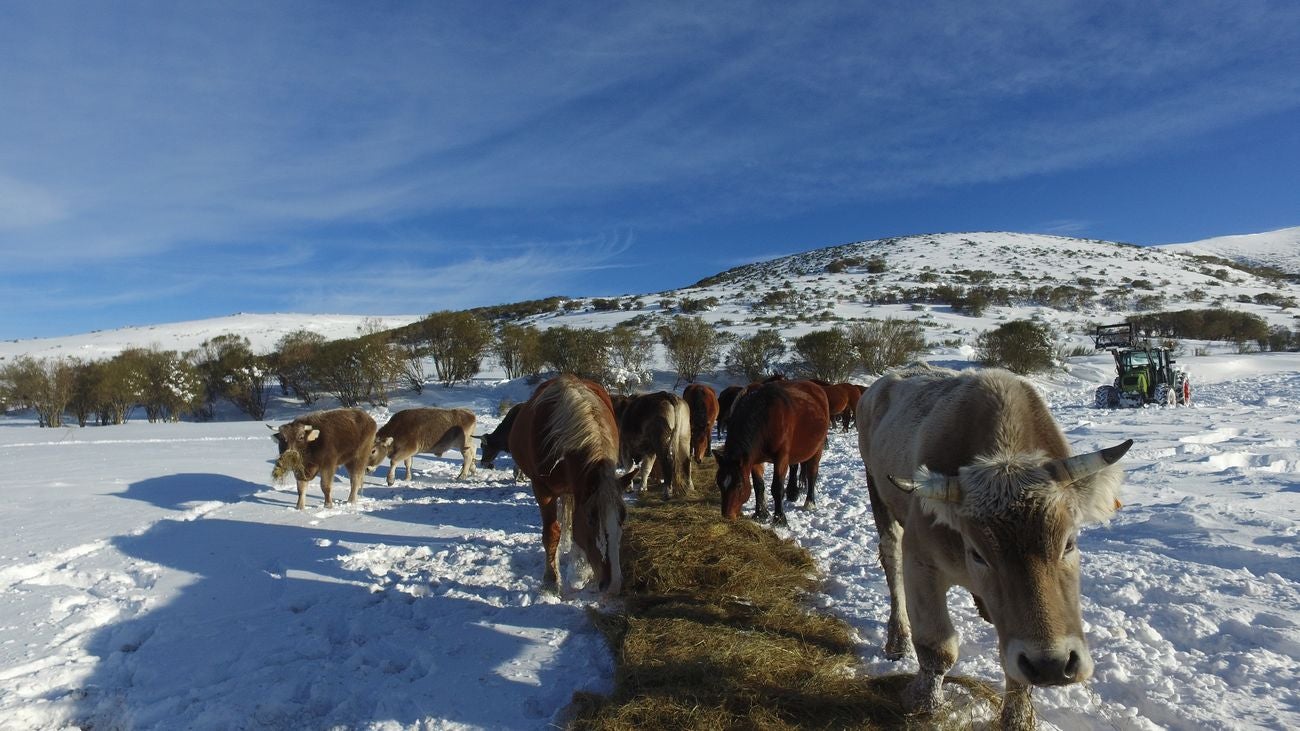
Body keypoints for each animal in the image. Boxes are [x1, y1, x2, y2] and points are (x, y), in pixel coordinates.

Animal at [857, 364, 1133, 728]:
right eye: (978, 554)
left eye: (1069, 543)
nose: (1052, 664)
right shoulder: (921, 560)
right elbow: (936, 647)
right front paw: (924, 702)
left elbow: (1013, 666)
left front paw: (1016, 718)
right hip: (877, 493)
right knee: (891, 557)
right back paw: (897, 638)